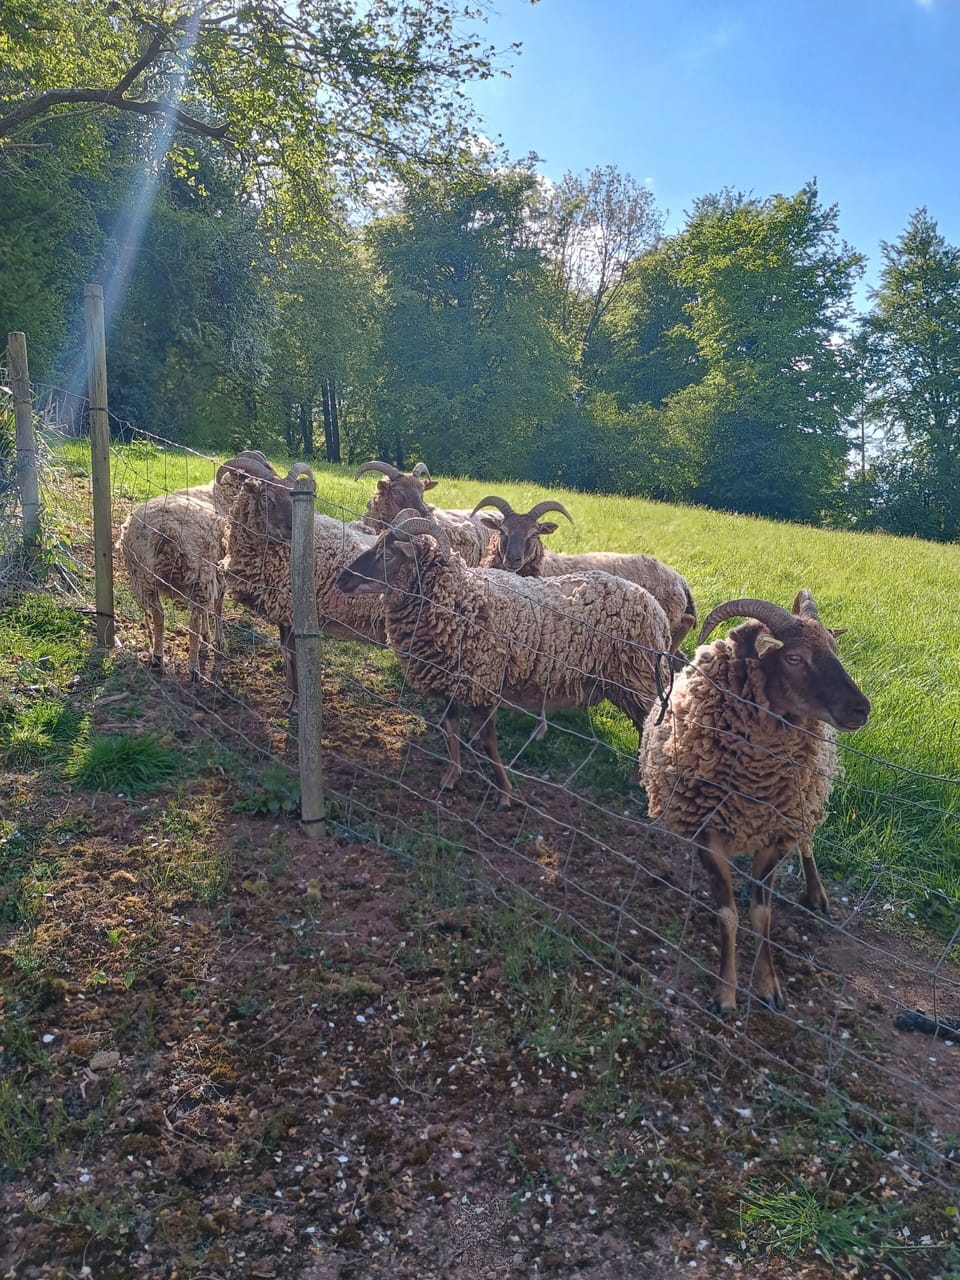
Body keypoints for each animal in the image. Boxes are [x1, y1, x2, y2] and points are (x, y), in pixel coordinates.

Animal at [216, 456, 385, 704]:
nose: (292, 528)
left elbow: (294, 656)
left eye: (292, 496)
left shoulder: (292, 612)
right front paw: (288, 697)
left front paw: (295, 703)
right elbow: (286, 653)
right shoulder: (283, 615)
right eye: (266, 498)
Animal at [336, 510, 674, 810]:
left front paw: (504, 794)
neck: (458, 601)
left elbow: (488, 742)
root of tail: (655, 608)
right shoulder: (451, 680)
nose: (342, 580)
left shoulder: (483, 680)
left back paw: (636, 778)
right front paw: (452, 776)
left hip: (636, 678)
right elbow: (451, 729)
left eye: (388, 556)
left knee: (646, 726)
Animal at [472, 494, 697, 658]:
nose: (513, 559)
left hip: (666, 617)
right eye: (502, 531)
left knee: (687, 621)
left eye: (534, 535)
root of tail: (680, 579)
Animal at [639, 591, 871, 1015]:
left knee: (808, 843)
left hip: (805, 802)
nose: (862, 709)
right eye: (793, 657)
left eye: (834, 649)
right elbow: (728, 915)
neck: (753, 785)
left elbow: (762, 915)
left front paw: (768, 986)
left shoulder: (776, 835)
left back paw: (817, 895)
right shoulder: (708, 835)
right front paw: (726, 992)